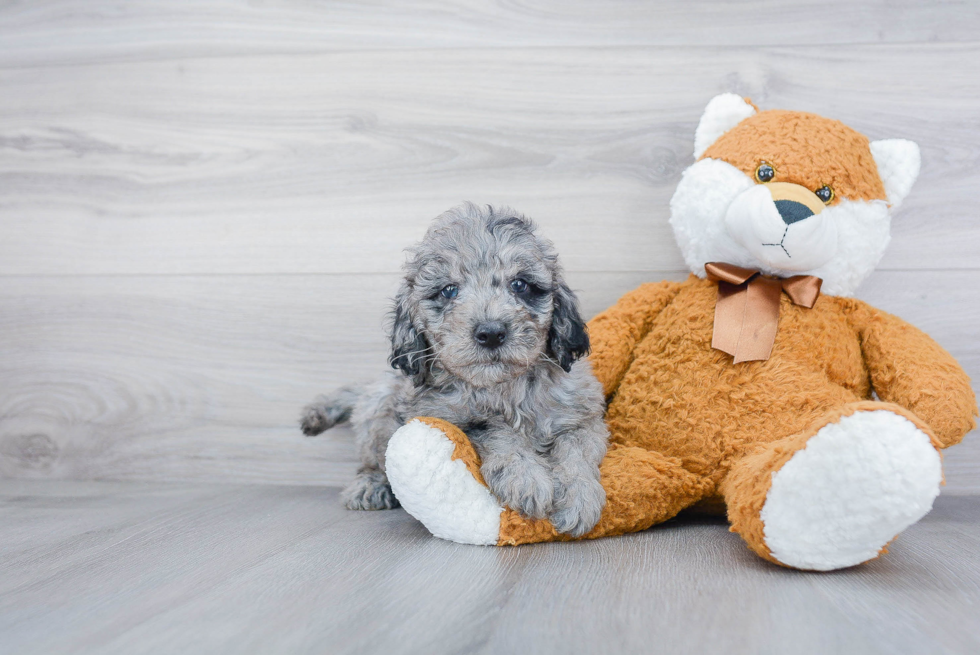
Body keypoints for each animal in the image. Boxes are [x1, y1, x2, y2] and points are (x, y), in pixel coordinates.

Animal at [302, 205, 608, 540]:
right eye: (448, 291)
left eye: (520, 285)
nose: (491, 333)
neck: (504, 388)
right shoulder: (450, 416)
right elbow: (498, 431)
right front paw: (526, 478)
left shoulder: (582, 415)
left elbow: (577, 451)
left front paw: (579, 499)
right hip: (378, 410)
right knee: (372, 460)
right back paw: (371, 486)